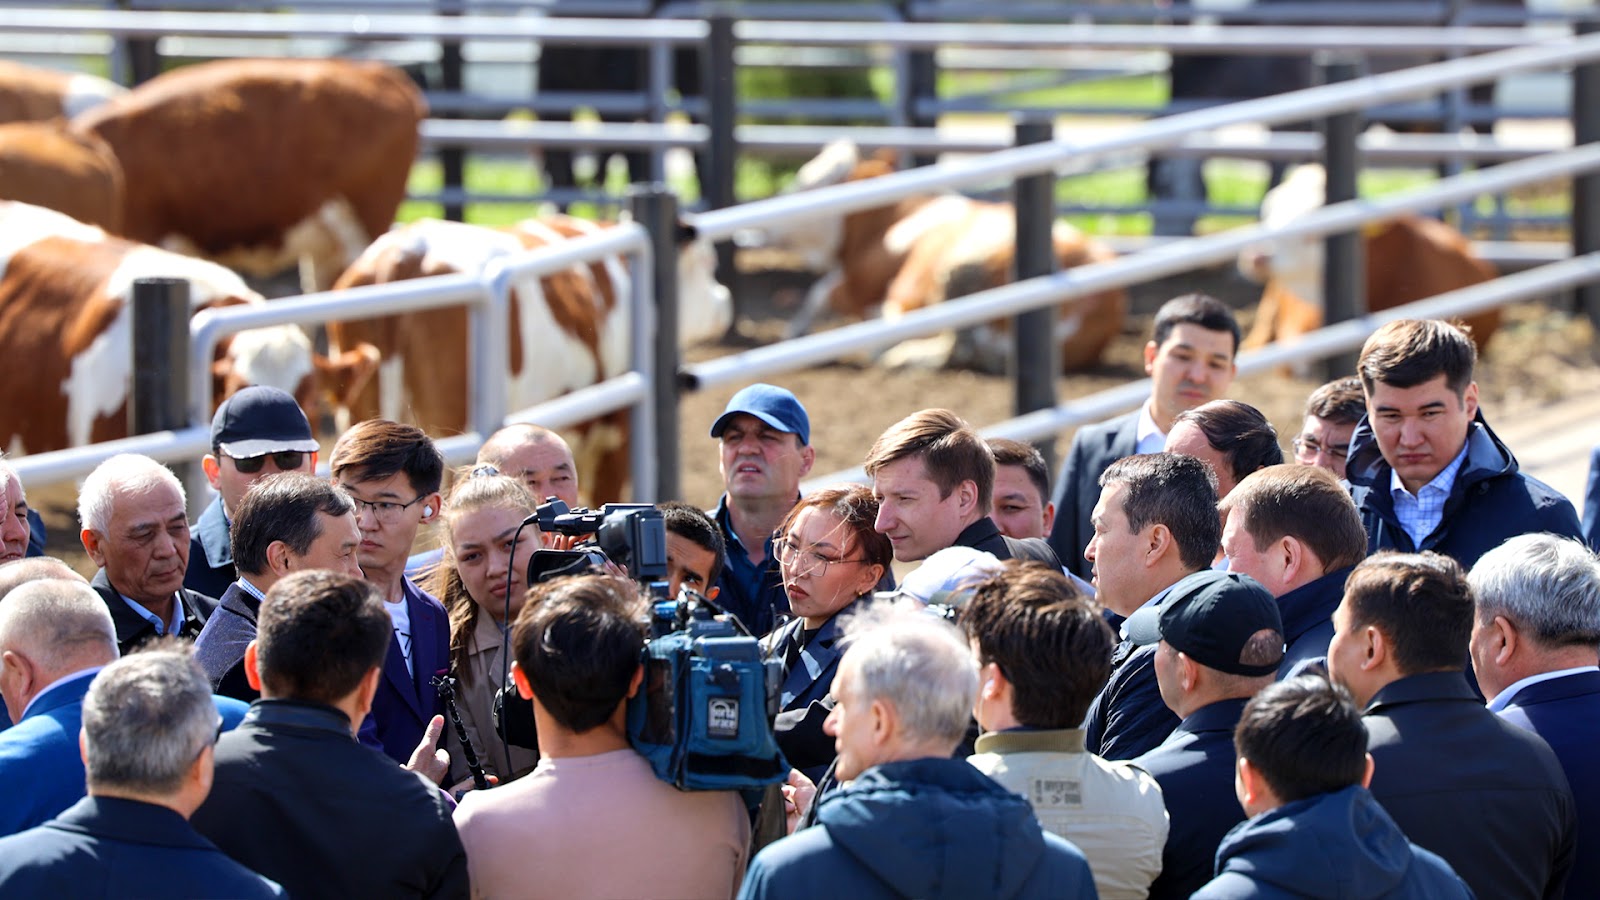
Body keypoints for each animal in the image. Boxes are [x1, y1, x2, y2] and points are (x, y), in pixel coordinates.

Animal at [761, 140, 1126, 371]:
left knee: (947, 346)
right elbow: (819, 292)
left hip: (959, 270)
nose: (767, 224)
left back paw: (898, 355)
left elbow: (825, 292)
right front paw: (795, 331)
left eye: (808, 181)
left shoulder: (875, 285)